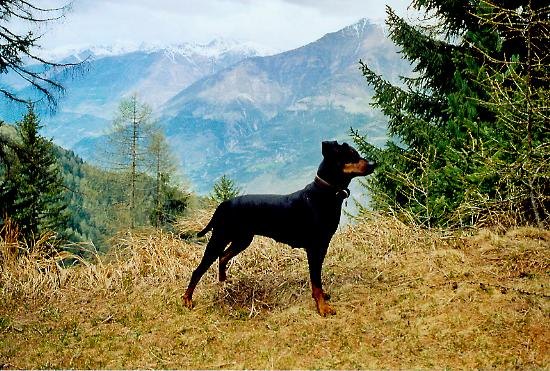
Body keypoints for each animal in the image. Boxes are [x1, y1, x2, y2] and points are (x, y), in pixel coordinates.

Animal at [183, 141, 378, 316]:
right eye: (351, 156)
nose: (374, 164)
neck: (324, 194)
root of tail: (222, 205)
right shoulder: (314, 248)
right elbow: (315, 281)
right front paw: (322, 308)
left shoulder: (322, 246)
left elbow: (318, 280)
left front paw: (323, 297)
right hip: (220, 238)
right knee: (198, 270)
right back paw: (187, 299)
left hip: (242, 239)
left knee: (223, 257)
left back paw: (224, 281)